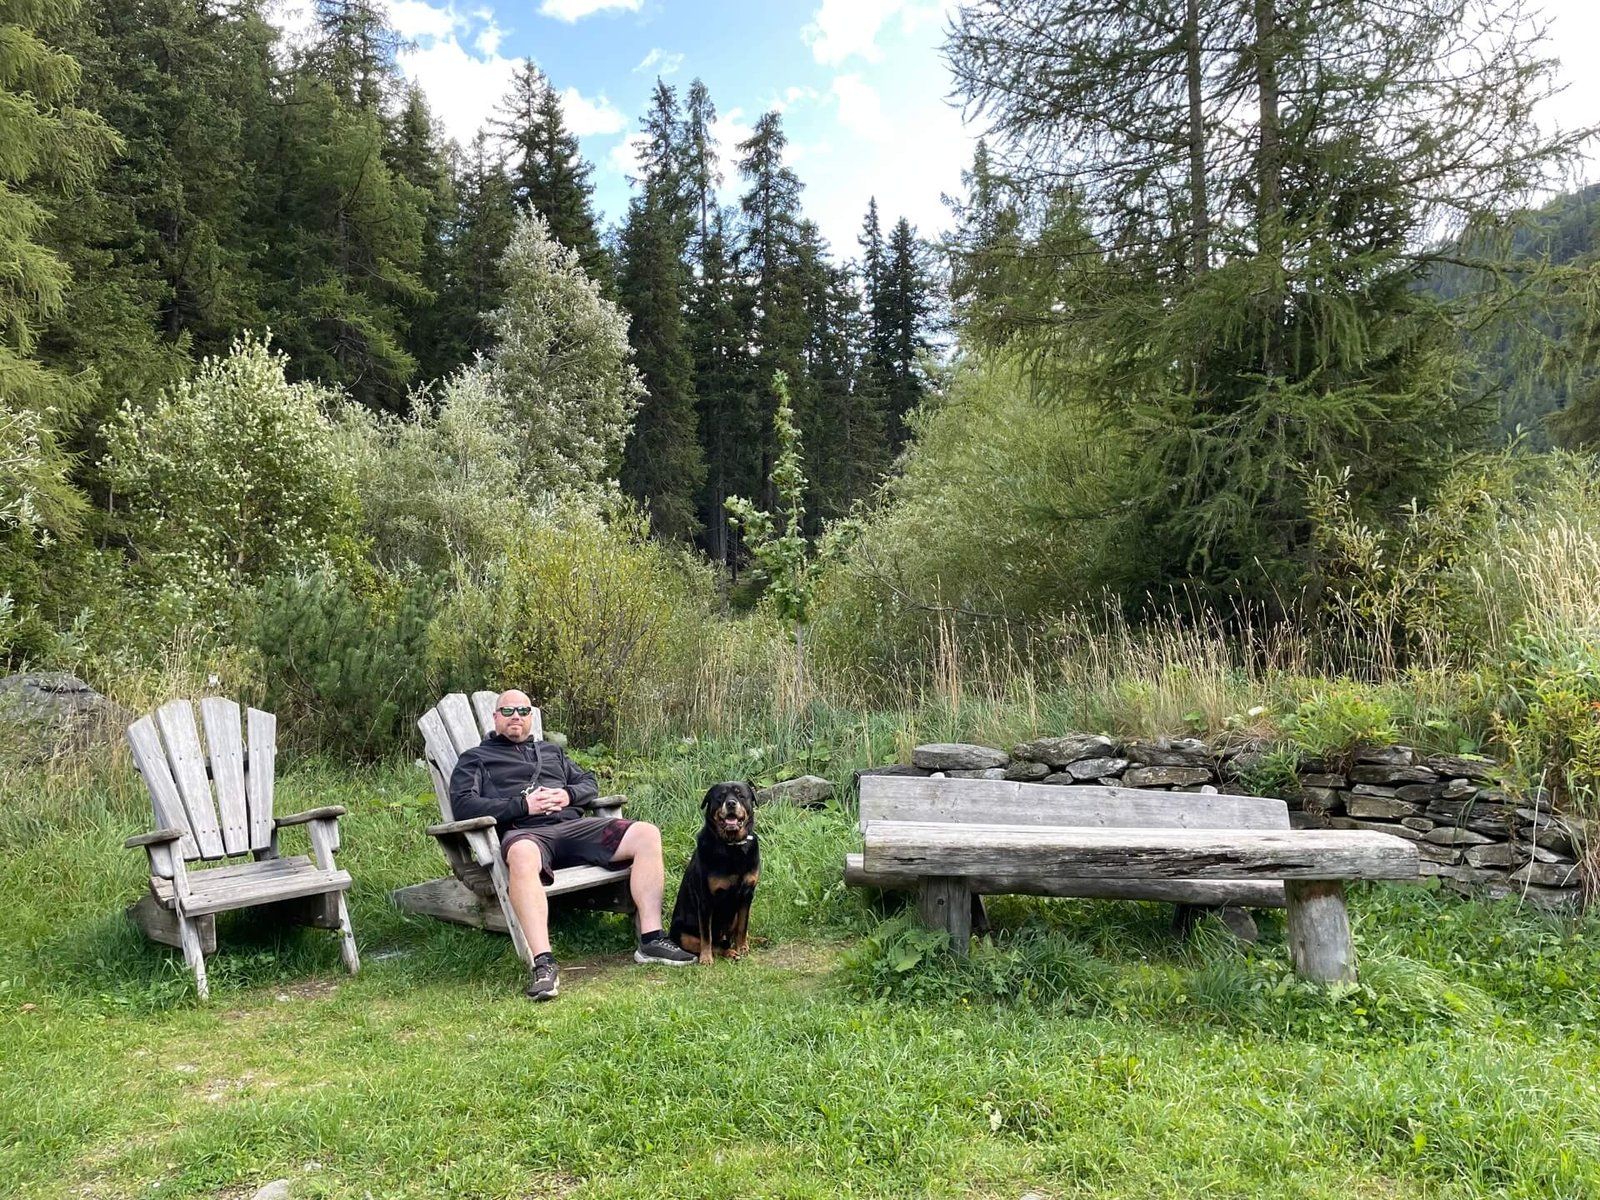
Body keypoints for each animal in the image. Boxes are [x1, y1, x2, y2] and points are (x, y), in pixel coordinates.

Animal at [665, 780, 758, 966]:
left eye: (741, 795)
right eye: (720, 796)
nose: (731, 803)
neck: (732, 847)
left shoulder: (747, 895)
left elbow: (743, 927)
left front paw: (743, 947)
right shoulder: (706, 899)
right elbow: (706, 935)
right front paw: (706, 958)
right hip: (683, 934)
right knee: (716, 944)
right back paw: (730, 952)